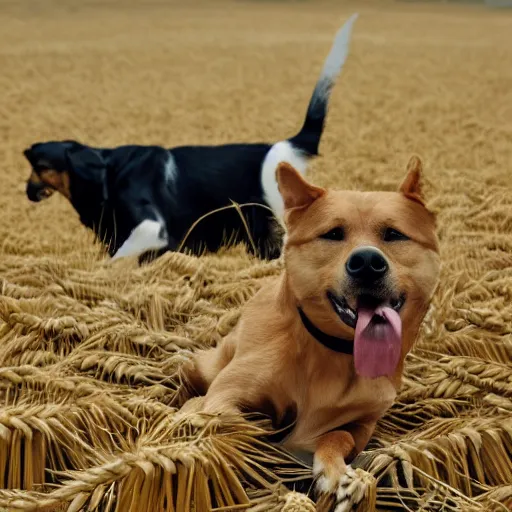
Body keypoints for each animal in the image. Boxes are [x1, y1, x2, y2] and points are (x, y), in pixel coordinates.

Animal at [24, 14, 358, 262]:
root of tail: (285, 147)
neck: (106, 172)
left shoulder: (151, 228)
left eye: (40, 166)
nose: (27, 190)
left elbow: (117, 261)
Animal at [181, 158, 440, 510]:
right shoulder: (228, 394)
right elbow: (243, 430)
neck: (330, 354)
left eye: (394, 234)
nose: (367, 262)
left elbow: (337, 435)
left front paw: (340, 475)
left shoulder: (362, 425)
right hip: (204, 366)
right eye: (333, 234)